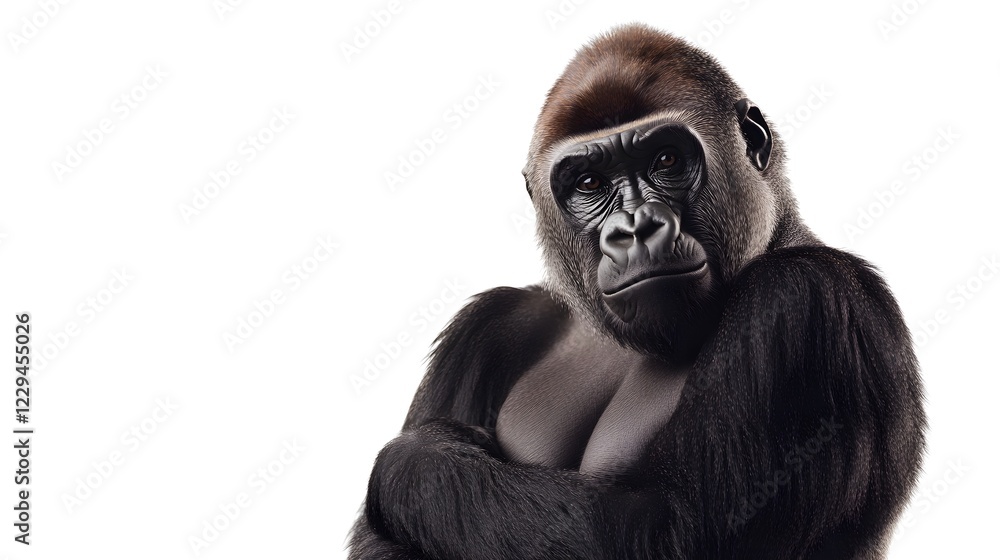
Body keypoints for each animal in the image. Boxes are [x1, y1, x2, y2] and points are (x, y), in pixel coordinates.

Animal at [348, 24, 925, 560]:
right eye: (589, 183)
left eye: (665, 160)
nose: (635, 228)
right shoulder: (494, 321)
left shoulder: (805, 297)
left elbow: (661, 532)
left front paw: (415, 457)